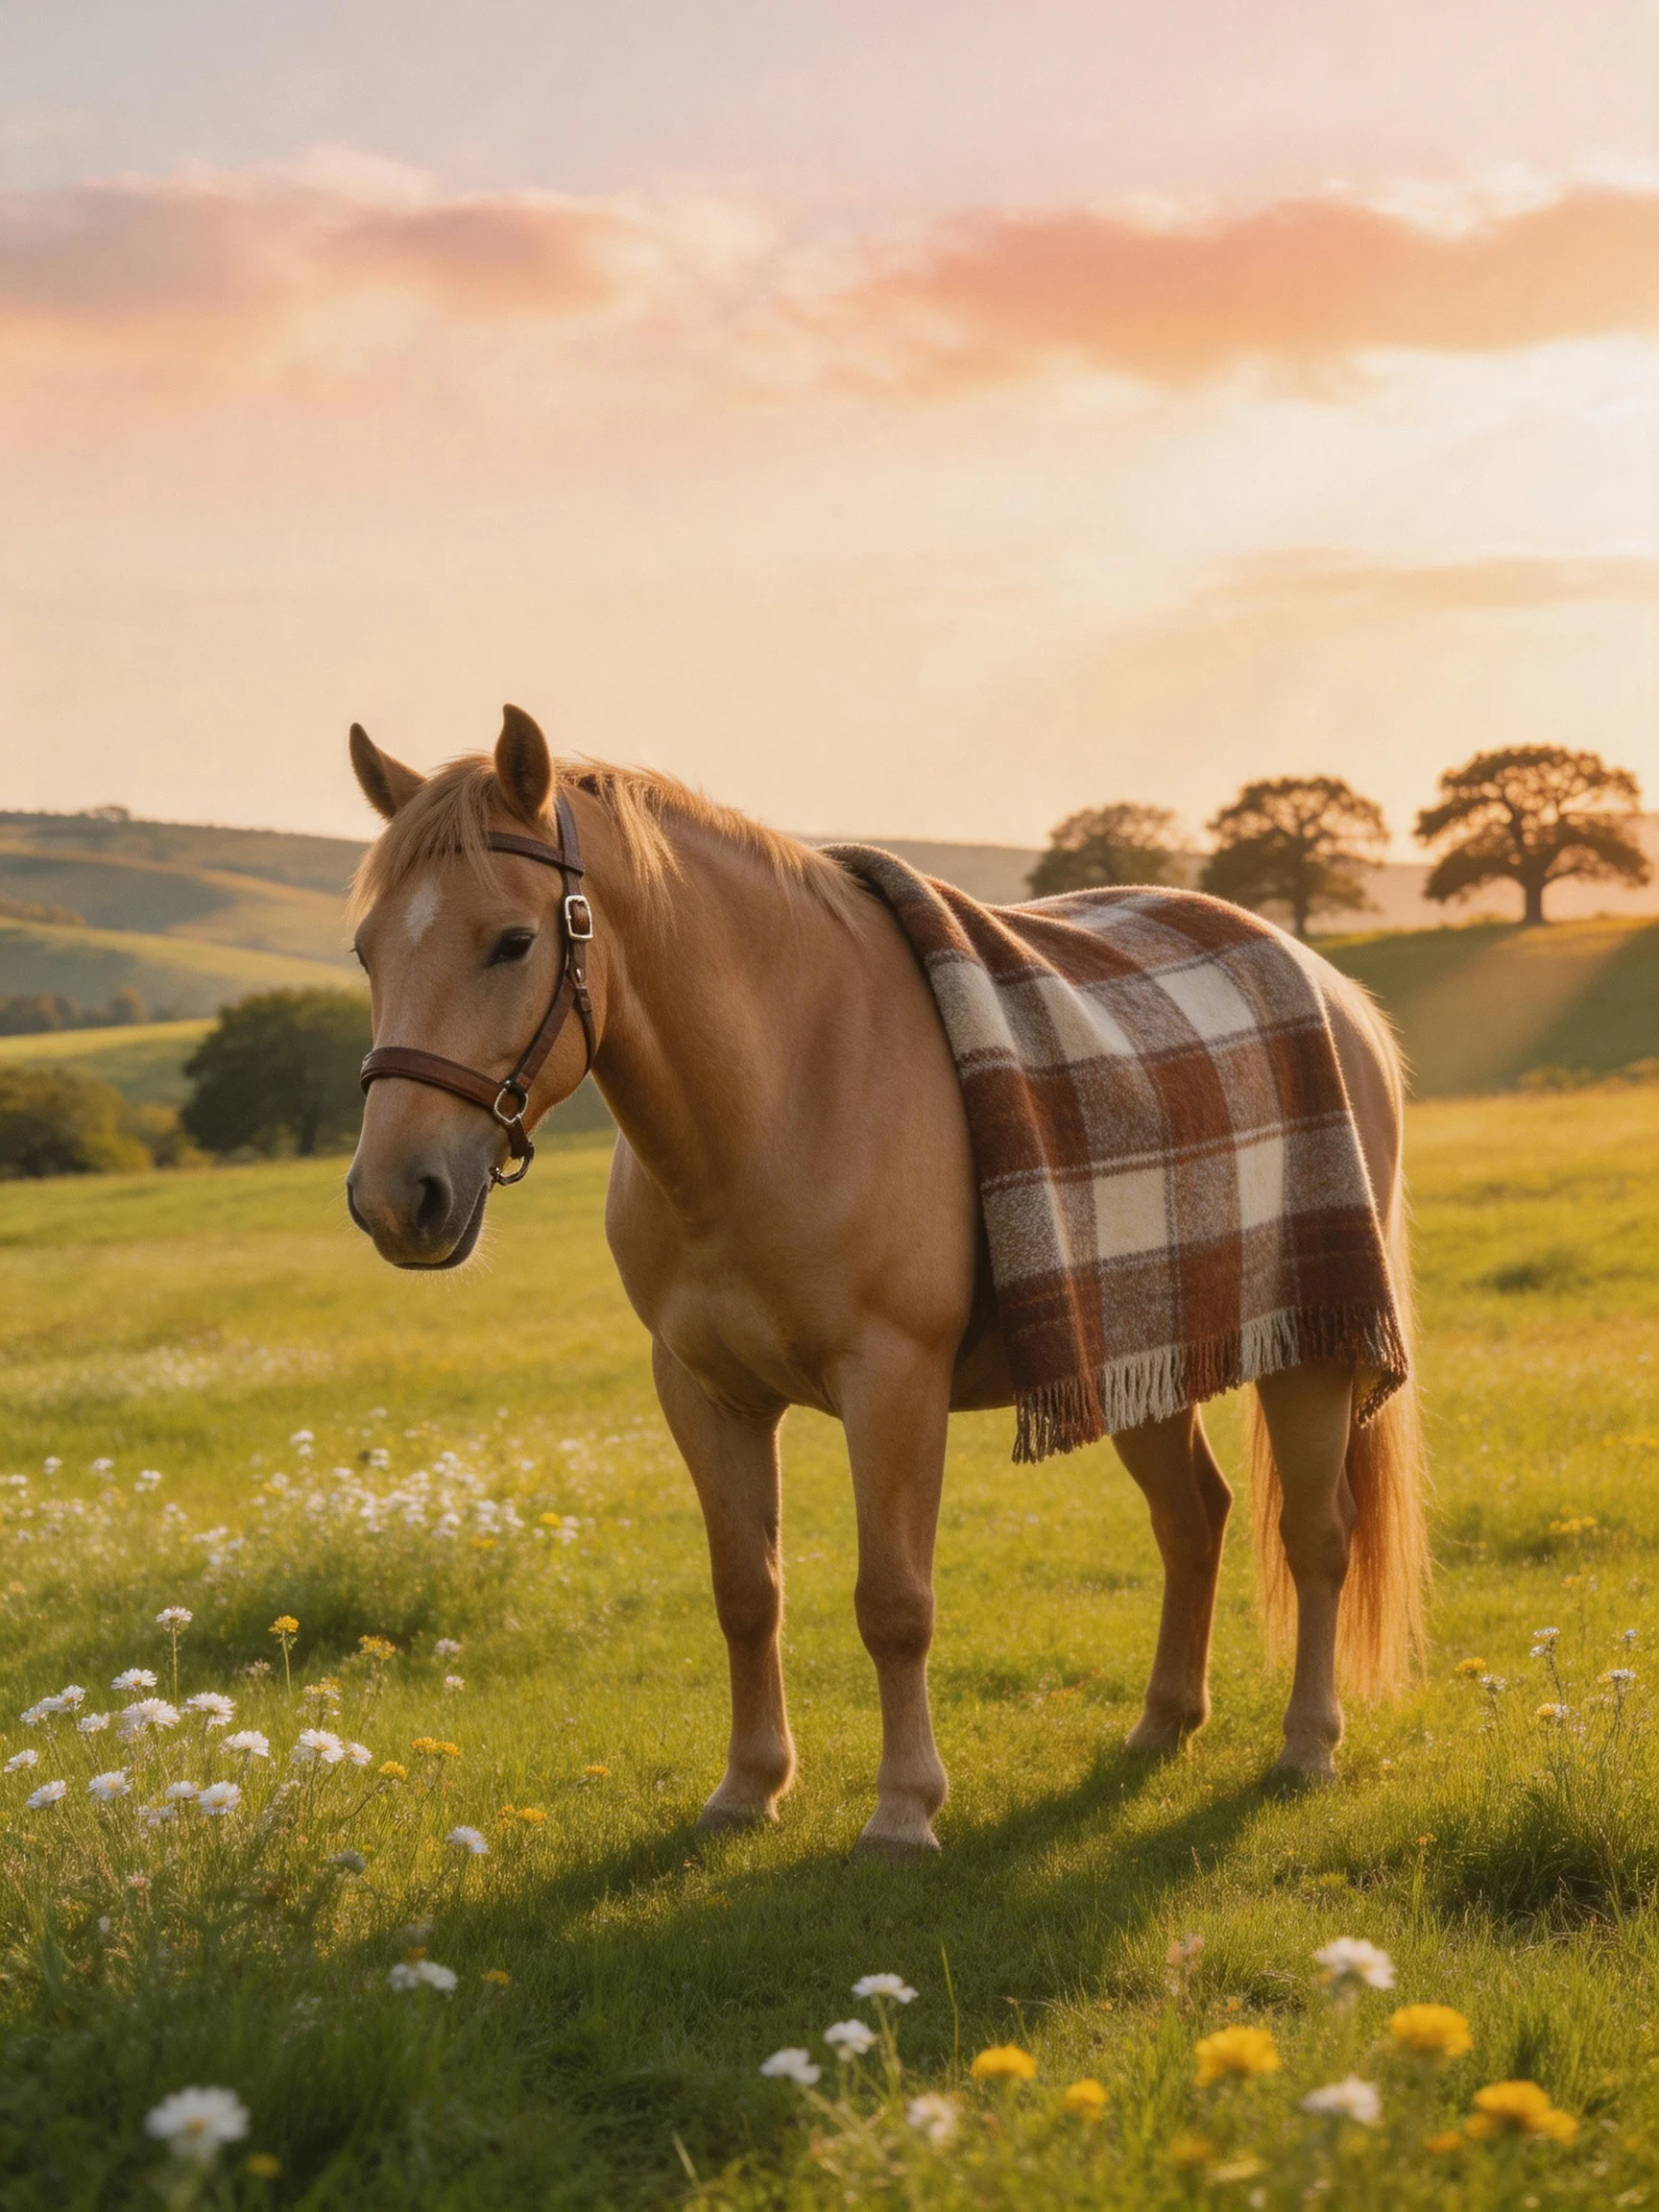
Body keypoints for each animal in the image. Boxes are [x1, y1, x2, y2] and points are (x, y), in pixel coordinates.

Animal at [345, 707, 1427, 1856]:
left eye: (512, 941)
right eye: (368, 949)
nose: (395, 1197)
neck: (783, 1091)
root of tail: (1334, 991)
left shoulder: (894, 1384)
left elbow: (894, 1603)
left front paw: (904, 1808)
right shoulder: (703, 1391)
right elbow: (746, 1593)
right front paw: (749, 1787)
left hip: (1312, 1350)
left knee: (1316, 1537)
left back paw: (1308, 1744)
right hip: (1145, 1353)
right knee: (1194, 1518)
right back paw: (1162, 1724)